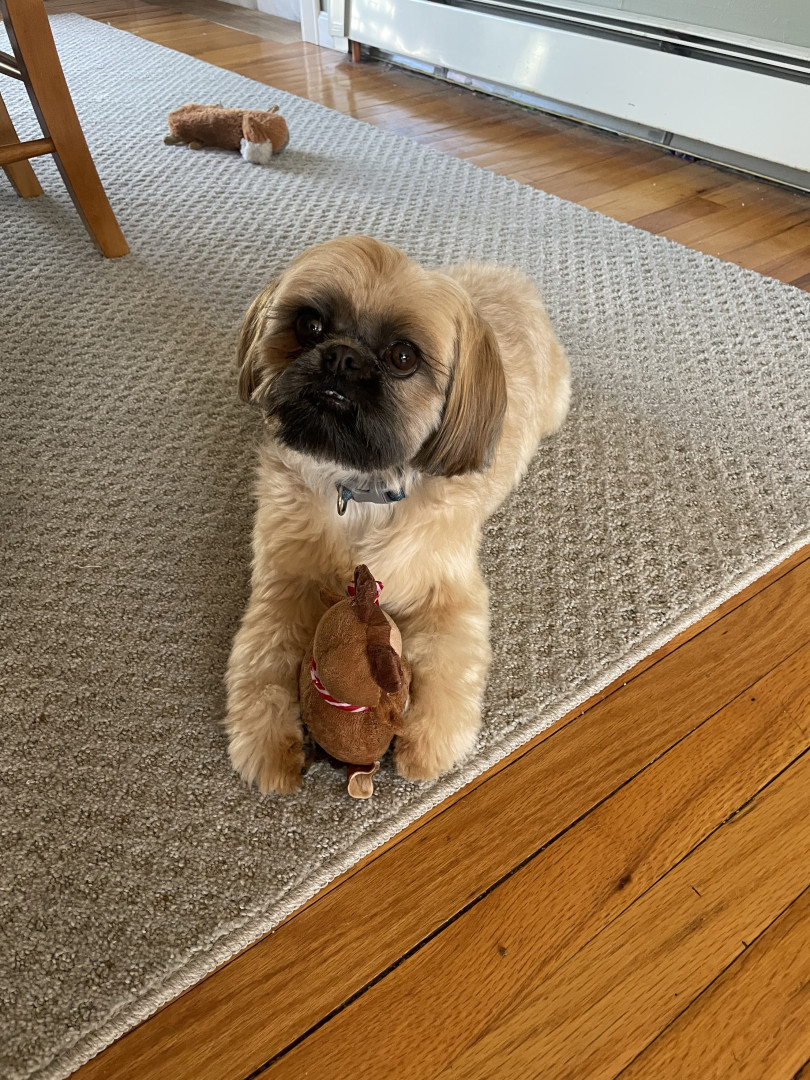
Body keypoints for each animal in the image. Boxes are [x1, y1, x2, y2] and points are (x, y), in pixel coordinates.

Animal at [225, 235, 570, 794]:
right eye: (309, 325)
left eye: (403, 356)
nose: (341, 358)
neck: (362, 489)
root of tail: (509, 278)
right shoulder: (284, 583)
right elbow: (261, 660)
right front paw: (268, 742)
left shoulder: (449, 596)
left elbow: (450, 668)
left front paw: (427, 742)